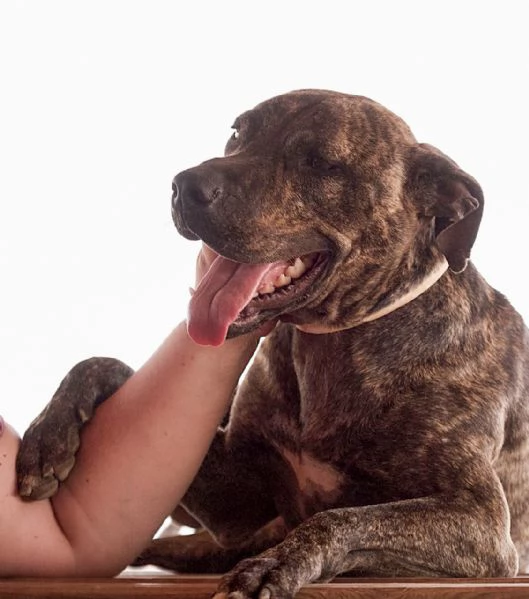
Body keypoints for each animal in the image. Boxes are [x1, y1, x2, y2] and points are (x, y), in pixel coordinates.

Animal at [15, 90, 528, 599]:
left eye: (320, 162)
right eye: (237, 133)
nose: (183, 185)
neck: (330, 345)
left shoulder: (481, 521)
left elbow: (341, 519)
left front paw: (275, 565)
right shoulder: (238, 500)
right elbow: (106, 363)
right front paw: (46, 436)